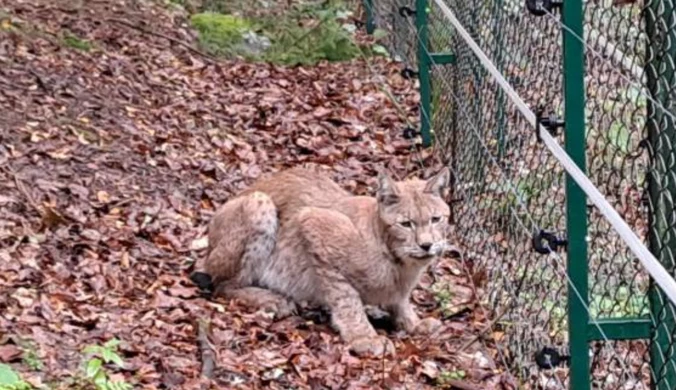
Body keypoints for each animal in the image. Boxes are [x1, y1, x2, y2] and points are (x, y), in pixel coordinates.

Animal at [190, 166, 454, 354]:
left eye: (436, 219)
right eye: (406, 224)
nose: (426, 245)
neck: (400, 262)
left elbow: (399, 300)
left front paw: (413, 323)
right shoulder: (312, 222)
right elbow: (346, 297)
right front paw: (364, 337)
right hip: (259, 201)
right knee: (221, 285)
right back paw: (272, 299)